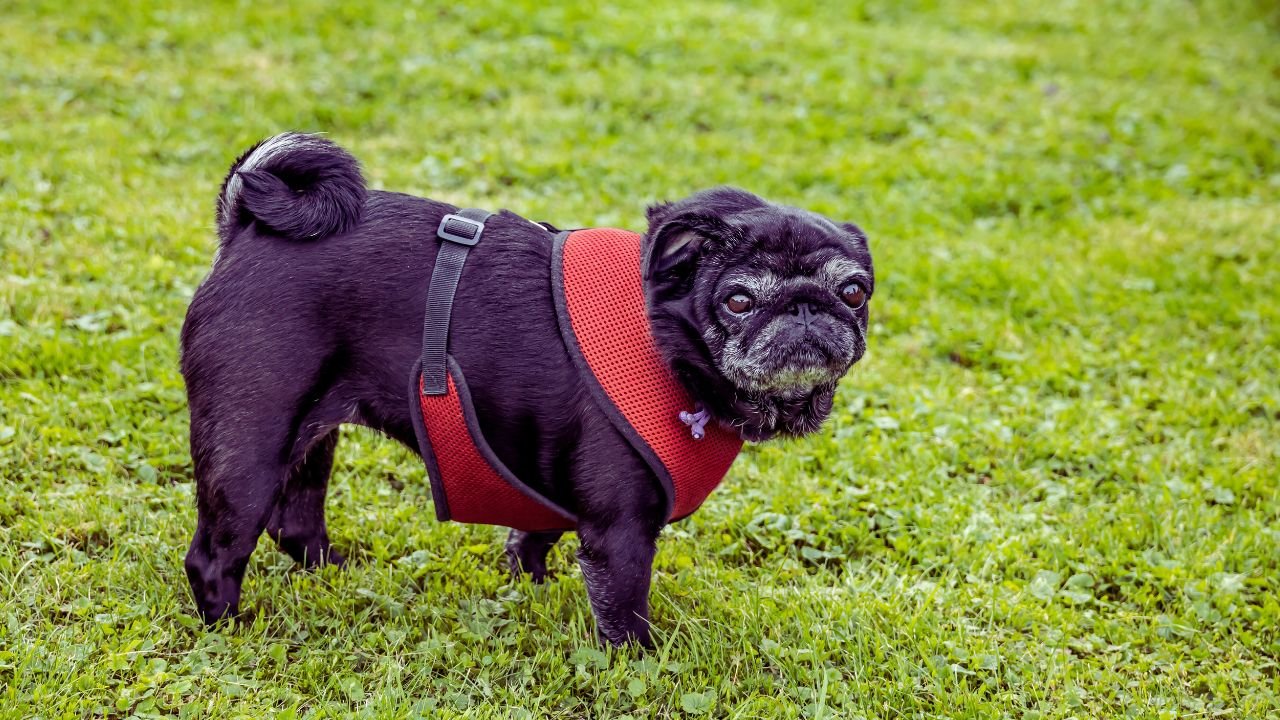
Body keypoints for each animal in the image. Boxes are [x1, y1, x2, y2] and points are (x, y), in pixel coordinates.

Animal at [180, 131, 875, 640]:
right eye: (738, 300)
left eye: (854, 292)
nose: (808, 308)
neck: (667, 341)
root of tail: (246, 228)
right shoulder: (622, 531)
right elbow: (625, 612)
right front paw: (643, 667)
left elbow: (532, 536)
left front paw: (530, 588)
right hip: (250, 444)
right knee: (214, 555)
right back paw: (232, 629)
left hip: (311, 436)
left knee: (297, 524)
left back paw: (337, 577)